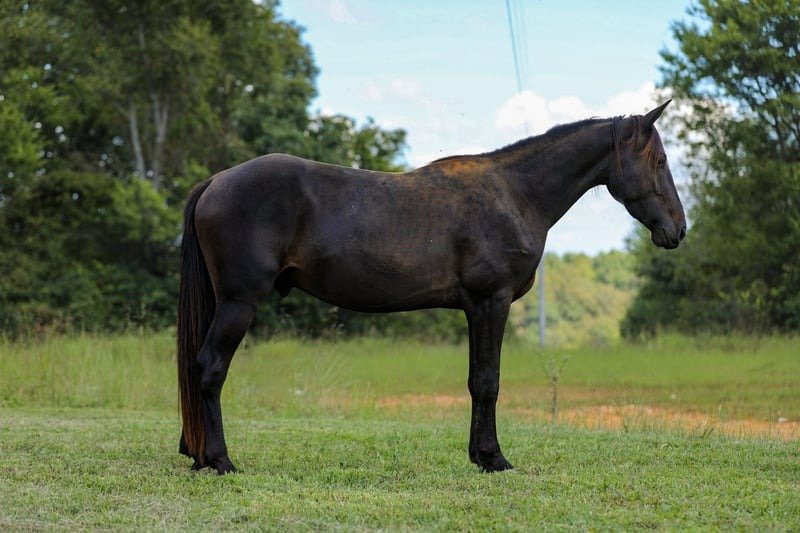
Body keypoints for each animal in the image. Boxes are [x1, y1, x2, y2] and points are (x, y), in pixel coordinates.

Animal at [177, 100, 686, 474]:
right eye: (659, 161)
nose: (678, 229)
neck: (515, 194)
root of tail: (217, 181)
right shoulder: (492, 302)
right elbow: (488, 382)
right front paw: (495, 459)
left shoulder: (474, 308)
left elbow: (476, 381)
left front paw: (479, 455)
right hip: (238, 303)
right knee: (210, 368)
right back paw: (220, 460)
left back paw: (199, 454)